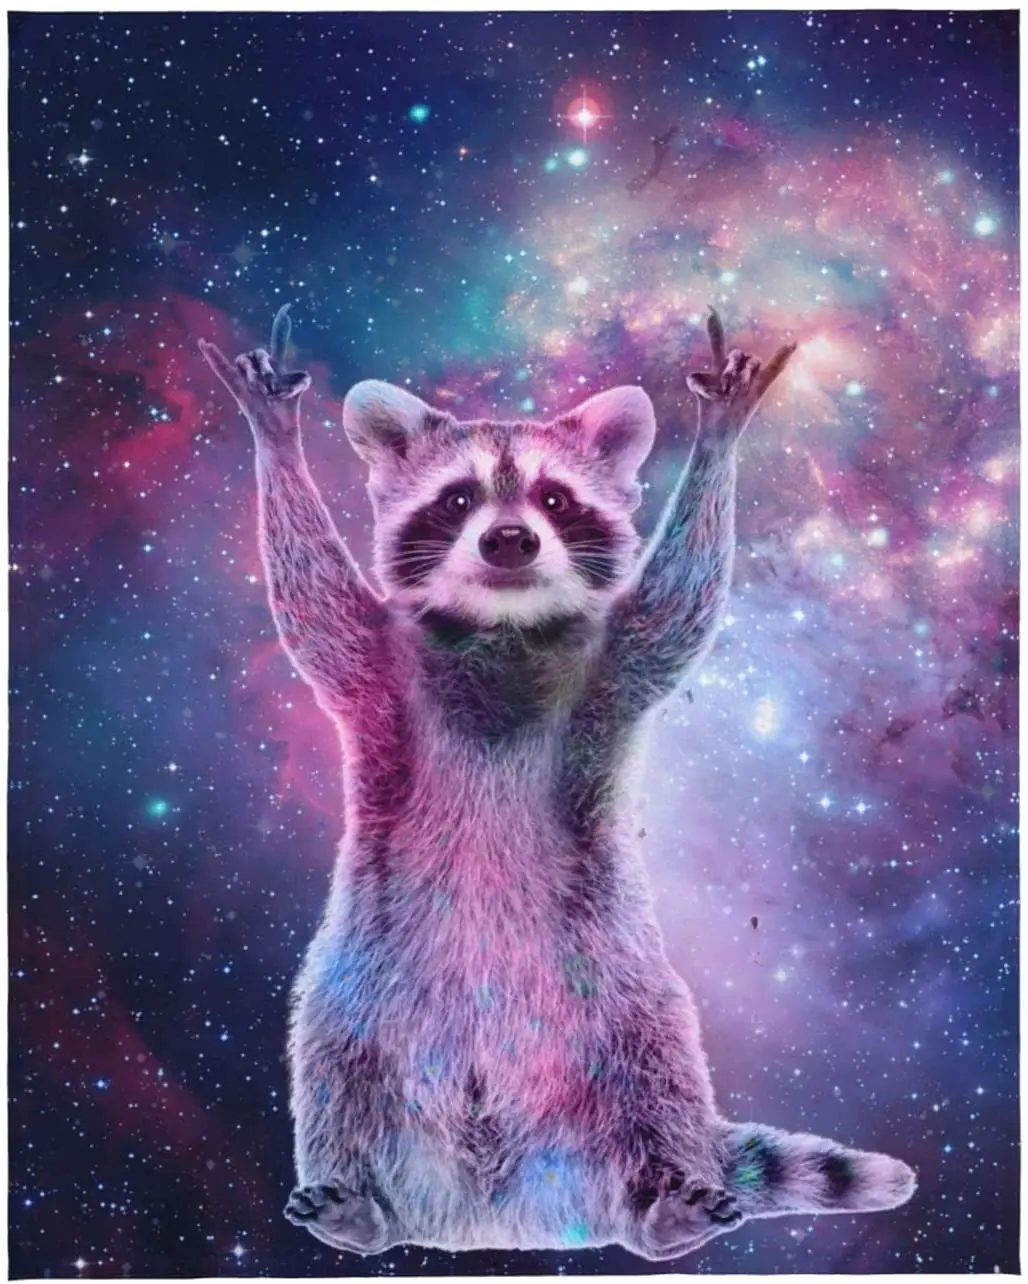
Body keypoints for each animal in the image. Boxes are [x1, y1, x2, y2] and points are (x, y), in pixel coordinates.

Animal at [199, 308, 916, 1260]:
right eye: (458, 499)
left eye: (553, 499)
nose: (509, 540)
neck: (502, 629)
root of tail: (499, 1212)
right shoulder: (376, 670)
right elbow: (312, 602)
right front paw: (276, 438)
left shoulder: (614, 670)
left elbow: (679, 605)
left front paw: (718, 437)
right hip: (360, 990)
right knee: (334, 1066)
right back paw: (363, 1205)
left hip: (623, 1001)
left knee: (661, 1077)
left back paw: (660, 1208)